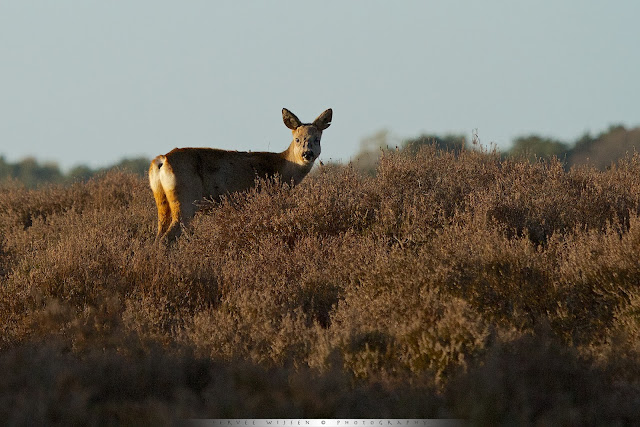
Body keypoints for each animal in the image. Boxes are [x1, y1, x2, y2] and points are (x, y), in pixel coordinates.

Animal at [148, 108, 332, 242]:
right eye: (297, 139)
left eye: (317, 139)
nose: (307, 154)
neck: (282, 168)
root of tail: (162, 160)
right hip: (185, 198)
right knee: (167, 238)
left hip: (162, 200)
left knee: (158, 236)